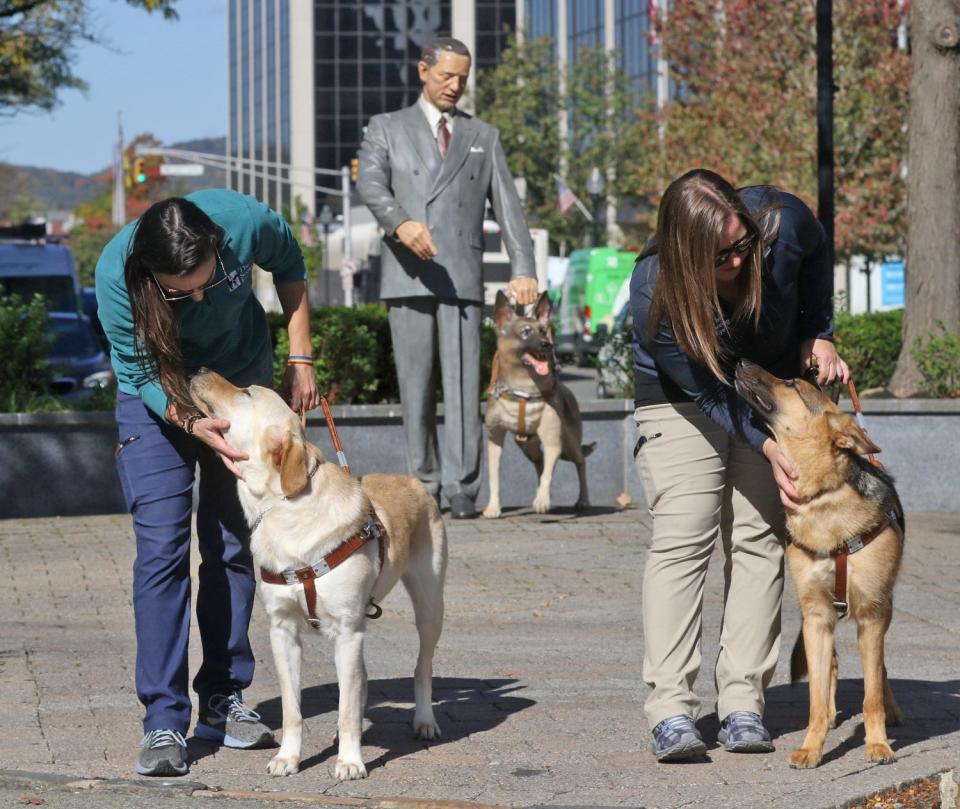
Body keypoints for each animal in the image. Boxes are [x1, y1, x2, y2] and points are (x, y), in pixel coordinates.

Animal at [484, 290, 596, 516]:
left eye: (543, 331)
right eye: (526, 332)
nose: (547, 344)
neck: (522, 391)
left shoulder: (553, 440)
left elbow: (548, 472)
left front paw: (542, 500)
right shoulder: (494, 439)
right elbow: (494, 476)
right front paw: (493, 507)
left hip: (570, 443)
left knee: (579, 462)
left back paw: (582, 499)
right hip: (528, 447)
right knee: (540, 464)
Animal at [732, 362, 904, 772]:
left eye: (791, 383)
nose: (741, 361)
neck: (823, 495)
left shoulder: (871, 615)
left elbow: (871, 694)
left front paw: (877, 745)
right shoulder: (816, 616)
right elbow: (816, 697)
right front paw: (812, 746)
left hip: (883, 609)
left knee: (880, 672)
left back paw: (891, 712)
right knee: (831, 671)